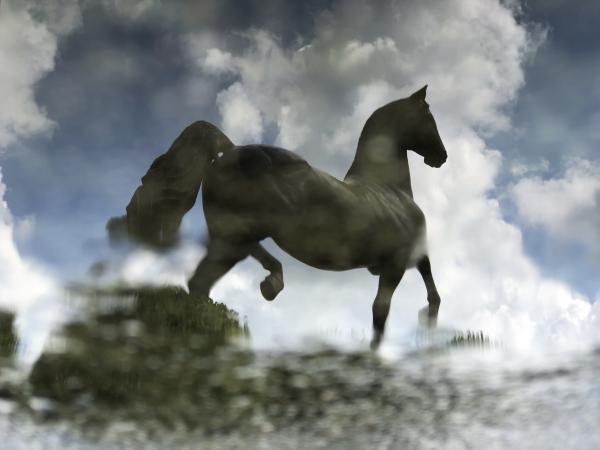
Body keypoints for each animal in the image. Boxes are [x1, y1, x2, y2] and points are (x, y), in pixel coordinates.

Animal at [106, 85, 446, 352]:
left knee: (204, 279)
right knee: (205, 279)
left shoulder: (393, 262)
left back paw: (270, 284)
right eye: (429, 116)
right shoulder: (397, 262)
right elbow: (387, 307)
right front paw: (425, 320)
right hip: (239, 235)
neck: (389, 190)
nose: (441, 157)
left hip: (231, 235)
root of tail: (230, 151)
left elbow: (415, 282)